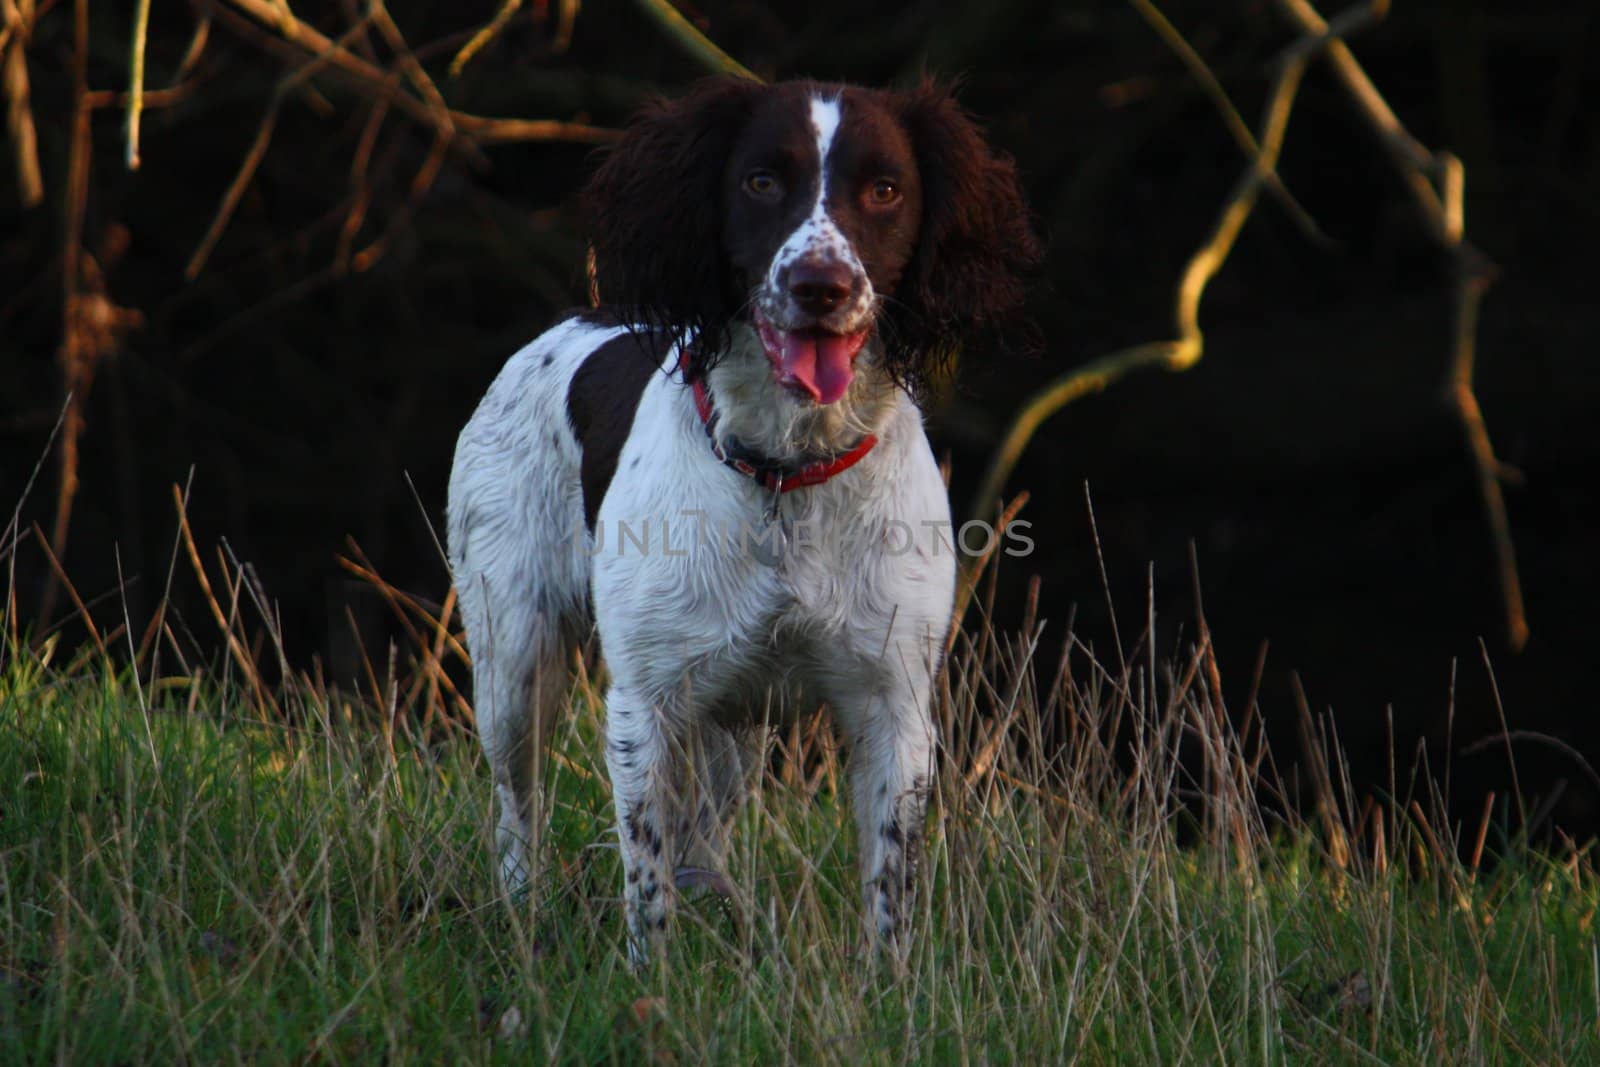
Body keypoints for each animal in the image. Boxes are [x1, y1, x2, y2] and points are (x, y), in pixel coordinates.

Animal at [444, 75, 1036, 959]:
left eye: (885, 189)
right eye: (761, 180)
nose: (821, 284)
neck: (790, 469)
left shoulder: (893, 704)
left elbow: (889, 885)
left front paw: (889, 983)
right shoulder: (646, 701)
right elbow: (646, 876)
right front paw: (650, 979)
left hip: (734, 726)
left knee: (704, 829)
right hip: (515, 661)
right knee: (519, 810)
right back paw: (525, 920)